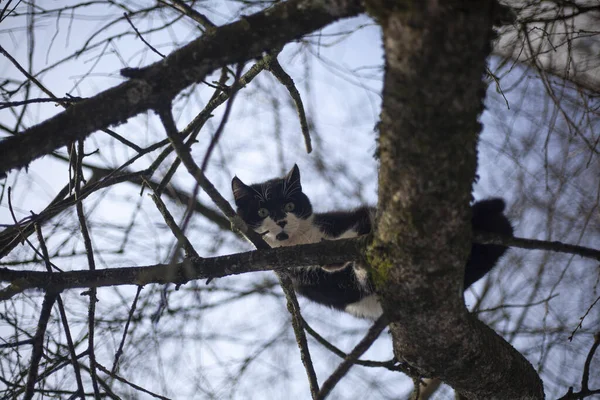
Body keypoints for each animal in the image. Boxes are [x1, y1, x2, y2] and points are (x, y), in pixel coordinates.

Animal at [232, 165, 512, 318]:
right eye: (262, 212)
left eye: (290, 205)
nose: (280, 220)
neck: (303, 240)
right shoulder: (303, 278)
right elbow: (345, 285)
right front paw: (341, 266)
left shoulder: (351, 217)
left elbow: (363, 223)